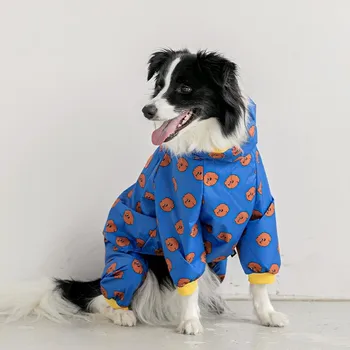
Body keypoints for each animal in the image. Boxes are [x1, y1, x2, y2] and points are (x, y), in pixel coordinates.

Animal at [0, 48, 288, 334]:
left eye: (185, 88)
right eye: (159, 85)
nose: (147, 110)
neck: (214, 156)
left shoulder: (259, 216)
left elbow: (259, 277)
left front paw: (267, 315)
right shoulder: (180, 222)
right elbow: (188, 276)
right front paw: (190, 321)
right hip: (129, 263)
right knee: (101, 299)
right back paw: (123, 313)